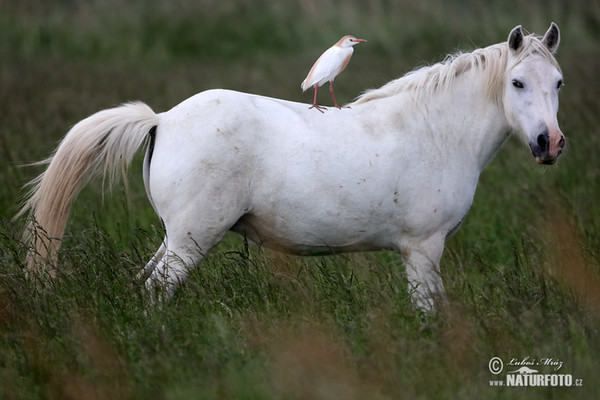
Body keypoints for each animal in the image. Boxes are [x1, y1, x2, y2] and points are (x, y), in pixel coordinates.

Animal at [17, 23, 564, 310]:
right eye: (517, 82)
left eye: (557, 82)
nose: (549, 144)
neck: (434, 131)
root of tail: (162, 119)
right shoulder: (423, 251)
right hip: (191, 240)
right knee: (156, 292)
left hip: (176, 237)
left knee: (143, 285)